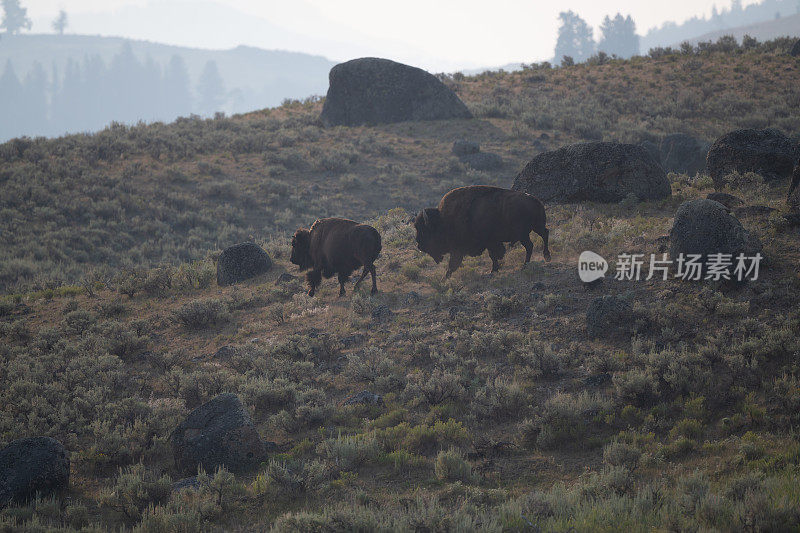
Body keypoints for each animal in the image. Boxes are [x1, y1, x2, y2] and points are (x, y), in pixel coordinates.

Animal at [412, 185, 552, 276]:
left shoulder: (467, 247)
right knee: (545, 234)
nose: (419, 245)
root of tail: (535, 200)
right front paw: (495, 269)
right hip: (536, 227)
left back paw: (526, 265)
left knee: (530, 245)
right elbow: (494, 256)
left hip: (523, 234)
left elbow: (454, 264)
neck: (444, 221)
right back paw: (546, 257)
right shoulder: (489, 243)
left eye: (424, 231)